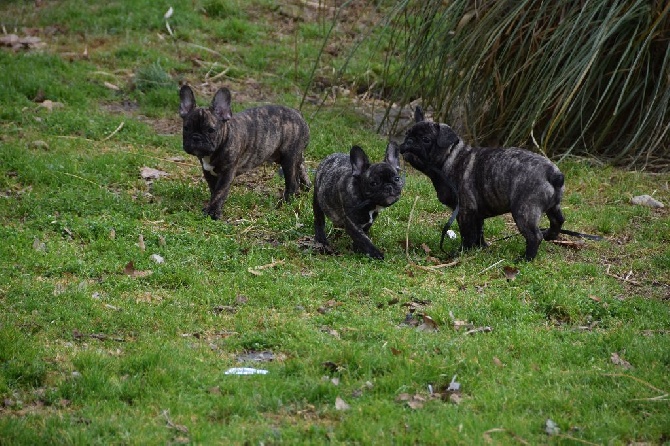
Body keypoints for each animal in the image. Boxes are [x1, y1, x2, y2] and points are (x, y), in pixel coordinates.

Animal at [181, 84, 312, 220]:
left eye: (211, 130)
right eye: (186, 128)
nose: (196, 137)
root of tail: (298, 114)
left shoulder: (227, 173)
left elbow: (220, 192)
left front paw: (213, 211)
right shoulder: (208, 172)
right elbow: (214, 190)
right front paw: (212, 206)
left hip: (288, 159)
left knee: (292, 183)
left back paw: (284, 203)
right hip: (291, 156)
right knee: (301, 169)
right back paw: (304, 190)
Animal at [400, 108, 568, 262]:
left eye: (425, 139)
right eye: (407, 134)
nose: (408, 141)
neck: (450, 159)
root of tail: (553, 174)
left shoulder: (465, 210)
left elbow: (467, 233)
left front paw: (462, 251)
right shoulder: (477, 212)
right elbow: (478, 231)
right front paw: (480, 247)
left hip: (523, 211)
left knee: (534, 236)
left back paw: (525, 259)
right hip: (553, 206)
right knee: (558, 220)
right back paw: (550, 235)